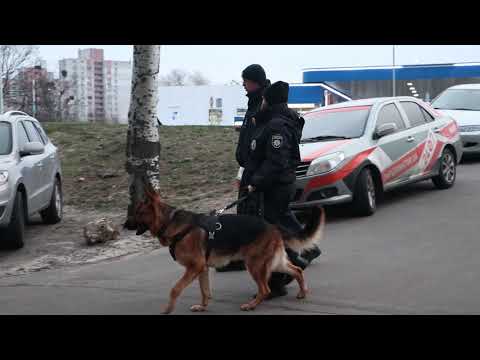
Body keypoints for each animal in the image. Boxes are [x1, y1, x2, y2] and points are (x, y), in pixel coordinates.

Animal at [133, 187, 324, 314]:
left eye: (138, 213)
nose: (126, 225)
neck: (171, 222)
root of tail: (273, 226)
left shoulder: (194, 267)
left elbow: (175, 289)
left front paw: (167, 309)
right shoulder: (201, 269)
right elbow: (205, 291)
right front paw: (202, 307)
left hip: (254, 265)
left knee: (265, 289)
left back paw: (251, 305)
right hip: (272, 263)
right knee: (297, 270)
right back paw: (302, 292)